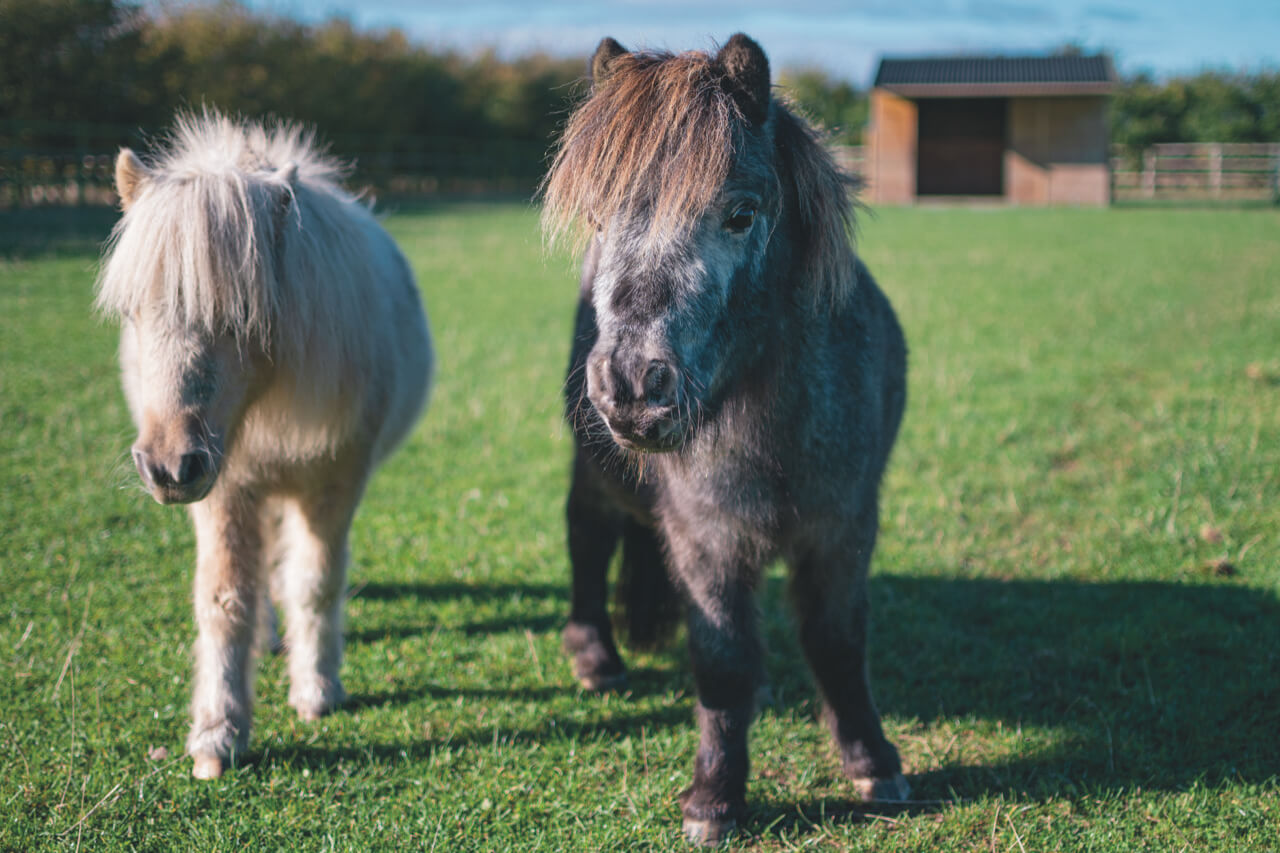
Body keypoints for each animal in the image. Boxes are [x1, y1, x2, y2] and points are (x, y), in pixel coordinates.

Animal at [96, 110, 434, 780]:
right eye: (133, 312)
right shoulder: (224, 491)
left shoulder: (334, 482)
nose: (167, 466)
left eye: (239, 317)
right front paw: (218, 733)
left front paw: (316, 691)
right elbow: (225, 598)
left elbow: (315, 581)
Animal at [542, 35, 910, 843]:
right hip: (598, 466)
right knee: (587, 531)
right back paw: (595, 653)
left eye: (741, 214)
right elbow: (721, 658)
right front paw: (715, 796)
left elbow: (838, 640)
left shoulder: (844, 526)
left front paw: (872, 760)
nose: (633, 386)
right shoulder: (708, 537)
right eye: (597, 217)